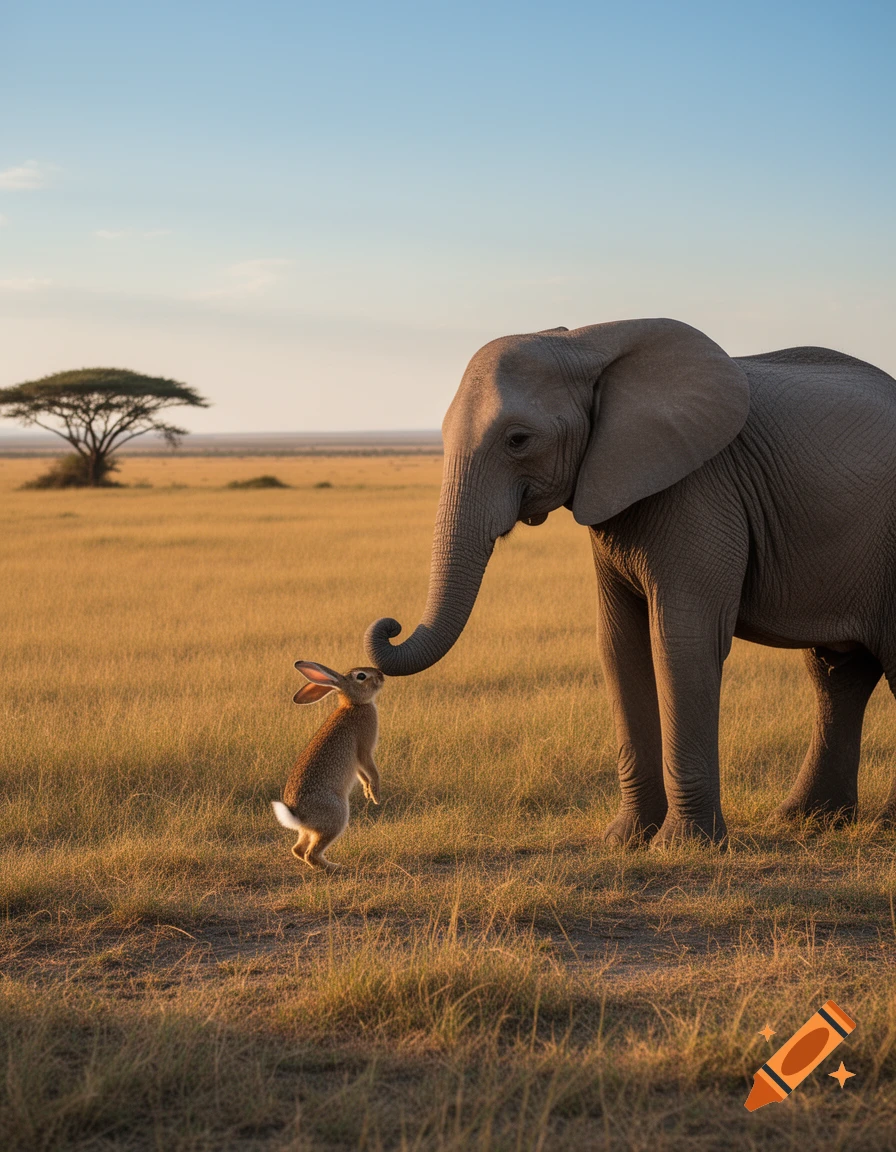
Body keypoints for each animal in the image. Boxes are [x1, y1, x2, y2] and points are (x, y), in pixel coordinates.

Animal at [271, 660, 384, 871]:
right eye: (361, 676)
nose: (381, 676)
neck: (354, 704)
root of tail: (298, 815)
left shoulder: (357, 762)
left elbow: (362, 775)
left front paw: (367, 791)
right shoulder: (364, 750)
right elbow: (371, 770)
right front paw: (375, 795)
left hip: (311, 829)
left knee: (298, 850)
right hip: (337, 817)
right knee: (310, 854)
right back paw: (335, 868)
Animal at [364, 319, 896, 845]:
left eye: (518, 440)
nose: (389, 624)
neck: (586, 343)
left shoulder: (700, 487)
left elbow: (681, 643)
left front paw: (683, 846)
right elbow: (621, 645)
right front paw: (625, 840)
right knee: (836, 674)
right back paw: (806, 821)